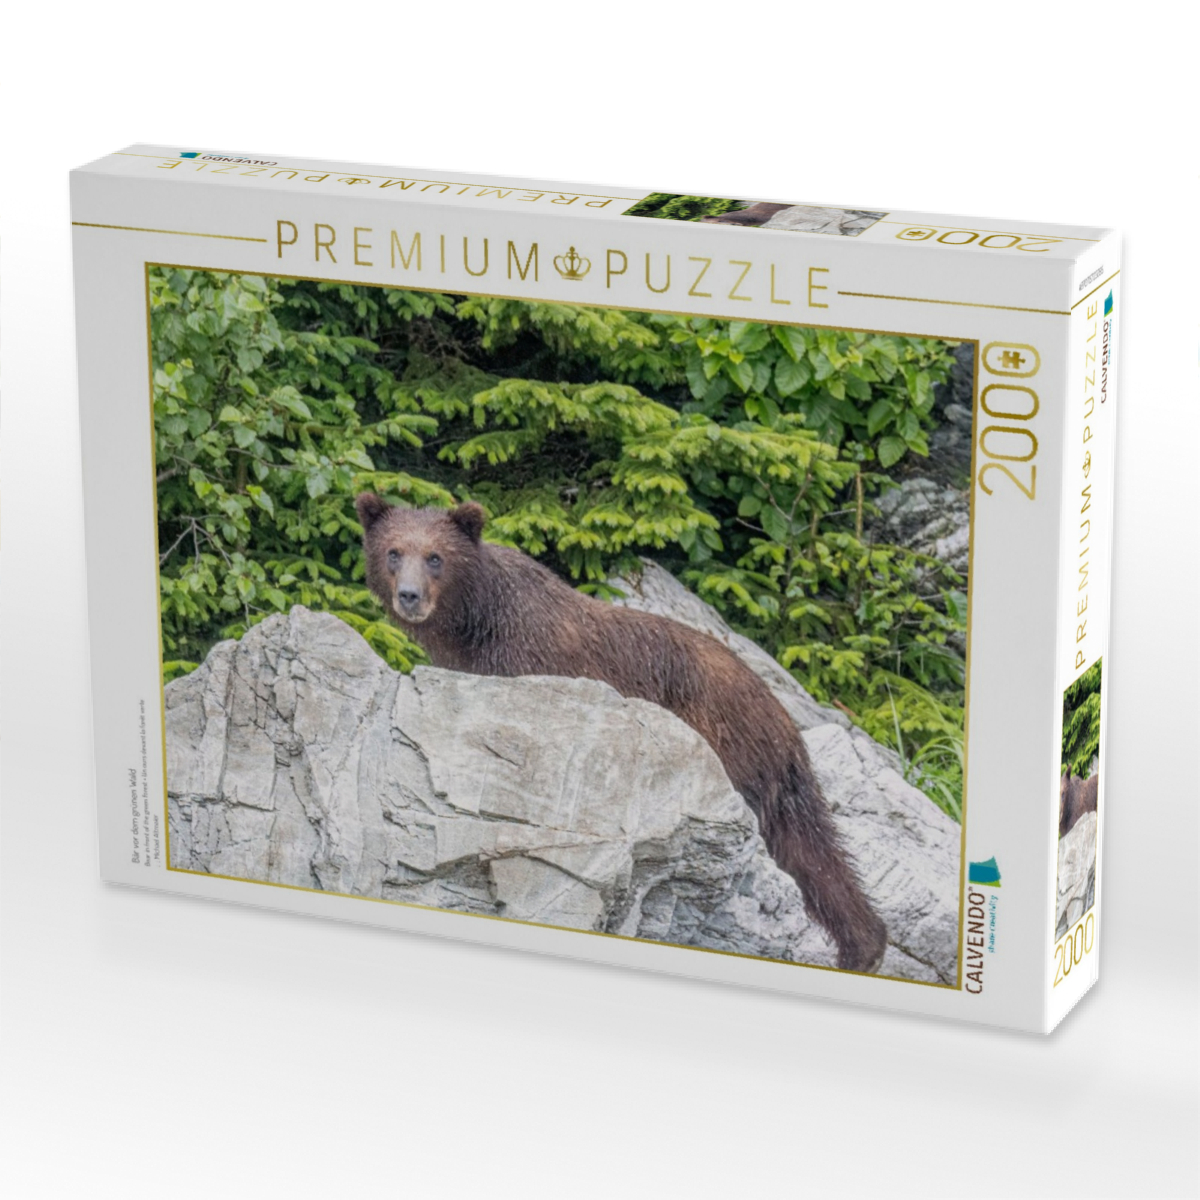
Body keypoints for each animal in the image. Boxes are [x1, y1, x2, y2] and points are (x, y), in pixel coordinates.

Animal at [356, 495, 889, 974]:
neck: (474, 623)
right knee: (812, 853)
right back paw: (864, 946)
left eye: (436, 557)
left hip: (726, 745)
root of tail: (785, 722)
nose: (409, 595)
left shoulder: (528, 660)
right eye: (393, 552)